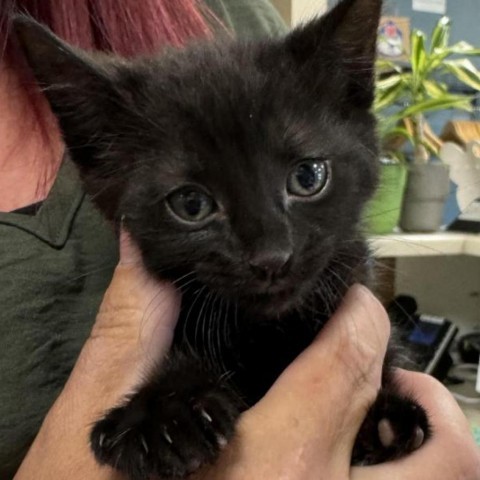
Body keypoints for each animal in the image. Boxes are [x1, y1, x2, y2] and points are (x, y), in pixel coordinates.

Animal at [15, 0, 430, 476]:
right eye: (191, 204)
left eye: (308, 177)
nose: (272, 257)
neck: (264, 331)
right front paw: (163, 416)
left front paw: (386, 419)